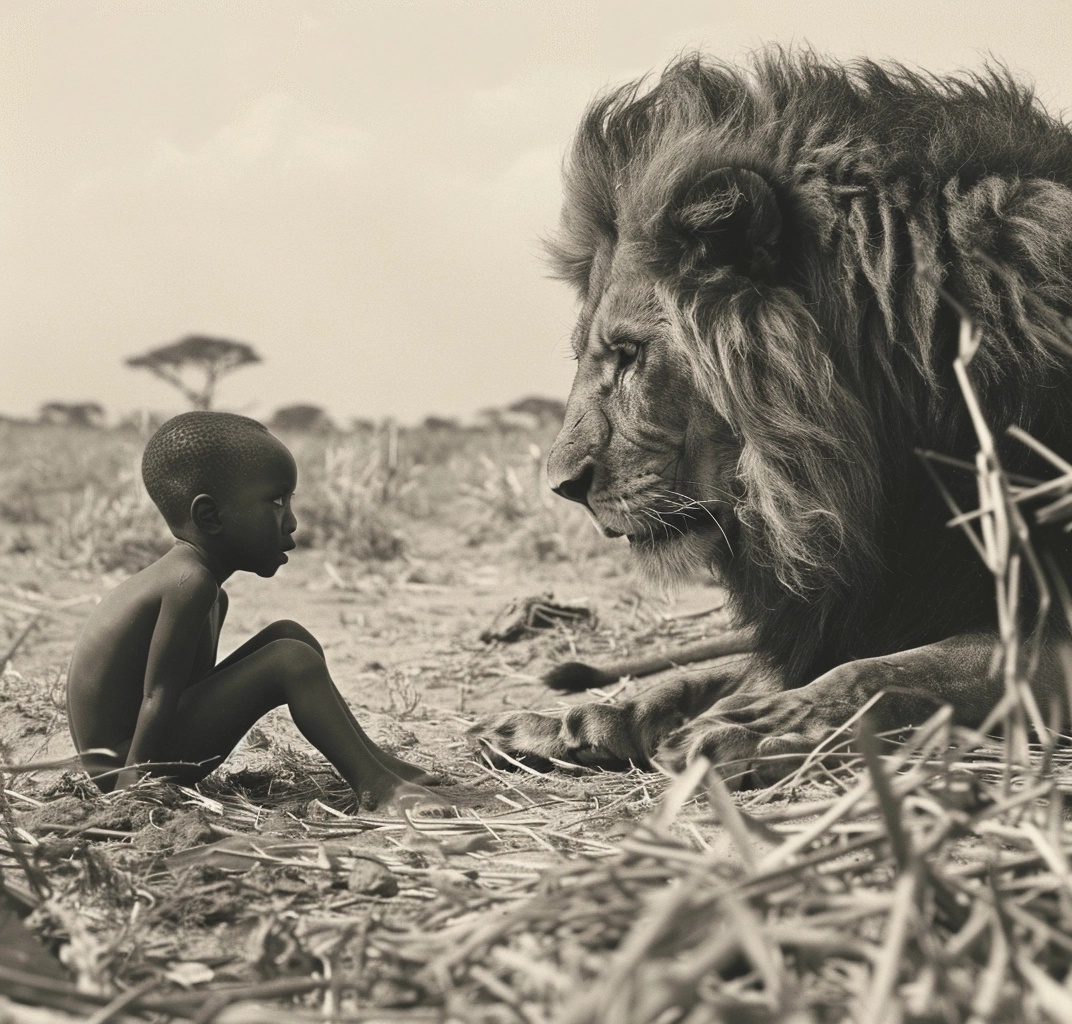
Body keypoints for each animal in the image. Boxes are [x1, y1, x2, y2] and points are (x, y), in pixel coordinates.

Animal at [473, 50, 1072, 784]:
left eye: (630, 354)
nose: (562, 487)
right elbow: (714, 673)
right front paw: (581, 720)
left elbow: (888, 671)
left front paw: (763, 724)